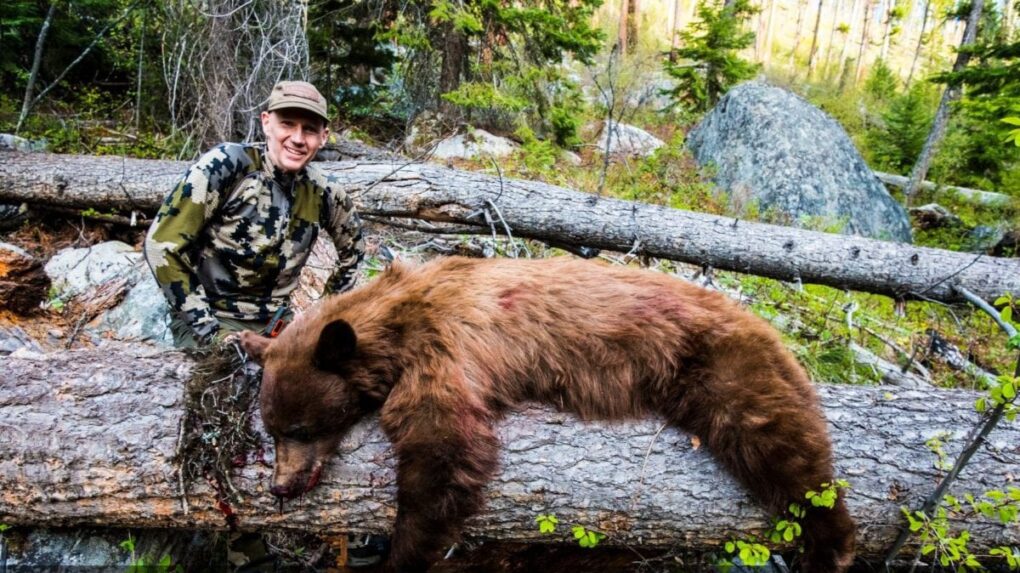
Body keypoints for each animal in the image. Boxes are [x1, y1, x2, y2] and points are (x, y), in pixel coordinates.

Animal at [236, 256, 852, 566]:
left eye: (300, 427)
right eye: (272, 430)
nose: (281, 486)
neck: (393, 317)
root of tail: (767, 325)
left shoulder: (445, 345)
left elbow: (445, 446)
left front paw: (401, 555)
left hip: (720, 364)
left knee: (777, 441)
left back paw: (833, 544)